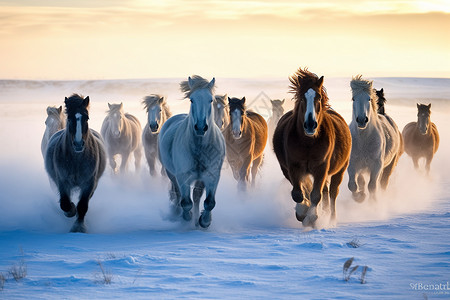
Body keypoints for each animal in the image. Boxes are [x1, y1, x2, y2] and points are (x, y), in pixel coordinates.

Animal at [44, 95, 106, 233]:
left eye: (86, 117)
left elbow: (82, 206)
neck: (77, 161)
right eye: (69, 118)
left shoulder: (88, 183)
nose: (78, 144)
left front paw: (78, 227)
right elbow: (65, 204)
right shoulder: (62, 182)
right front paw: (71, 210)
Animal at [160, 76, 227, 229]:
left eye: (210, 100)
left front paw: (204, 221)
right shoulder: (183, 176)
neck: (200, 148)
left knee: (196, 197)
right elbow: (186, 202)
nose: (201, 127)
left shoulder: (212, 176)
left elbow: (209, 202)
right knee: (179, 195)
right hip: (171, 173)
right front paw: (187, 217)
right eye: (192, 100)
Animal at [270, 68, 352, 227]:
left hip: (340, 170)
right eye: (302, 98)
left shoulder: (321, 167)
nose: (310, 124)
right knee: (320, 191)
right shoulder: (293, 167)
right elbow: (299, 194)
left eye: (318, 97)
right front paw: (303, 213)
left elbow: (315, 195)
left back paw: (331, 219)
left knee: (332, 193)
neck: (308, 143)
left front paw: (312, 216)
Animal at [348, 75, 404, 203]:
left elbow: (372, 186)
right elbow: (353, 185)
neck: (363, 139)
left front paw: (372, 202)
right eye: (353, 99)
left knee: (383, 183)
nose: (362, 120)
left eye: (369, 99)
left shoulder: (376, 166)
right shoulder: (353, 164)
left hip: (389, 166)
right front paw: (360, 197)